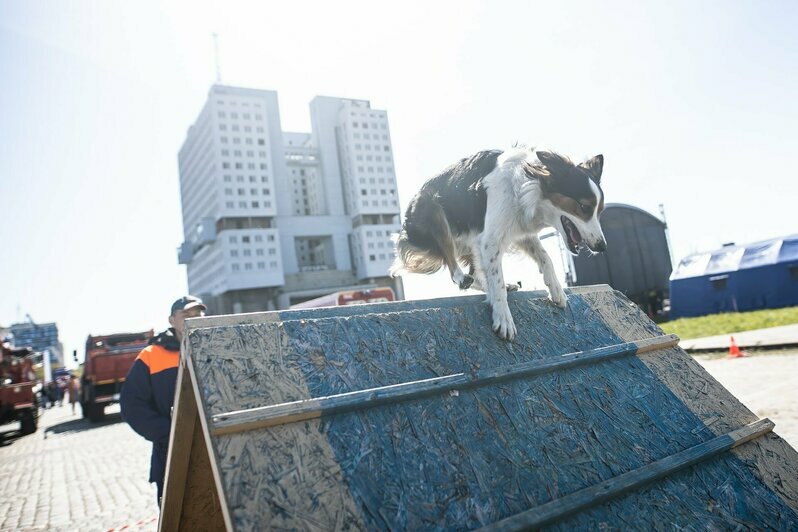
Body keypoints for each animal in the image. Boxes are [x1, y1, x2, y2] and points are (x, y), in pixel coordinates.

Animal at [392, 145, 608, 340]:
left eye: (600, 211)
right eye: (584, 207)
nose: (602, 247)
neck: (526, 187)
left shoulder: (519, 231)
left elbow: (545, 256)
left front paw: (555, 289)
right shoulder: (490, 239)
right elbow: (497, 280)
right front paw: (503, 317)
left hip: (471, 241)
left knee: (476, 273)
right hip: (434, 210)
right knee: (455, 268)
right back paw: (462, 278)